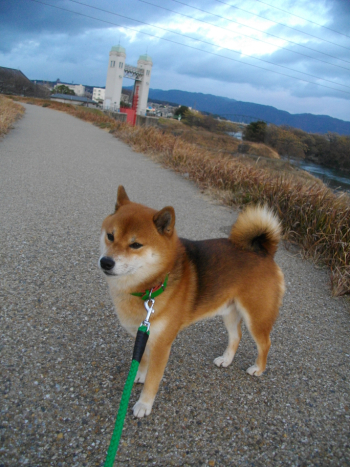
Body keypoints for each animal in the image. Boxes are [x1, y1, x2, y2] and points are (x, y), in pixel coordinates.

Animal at [98, 185, 284, 418]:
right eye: (110, 236)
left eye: (136, 245)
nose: (106, 262)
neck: (152, 287)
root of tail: (265, 252)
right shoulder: (146, 333)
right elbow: (143, 360)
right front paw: (139, 375)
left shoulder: (162, 344)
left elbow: (153, 380)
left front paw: (144, 404)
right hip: (229, 312)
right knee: (236, 336)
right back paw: (226, 360)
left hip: (256, 317)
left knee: (265, 343)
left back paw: (258, 369)